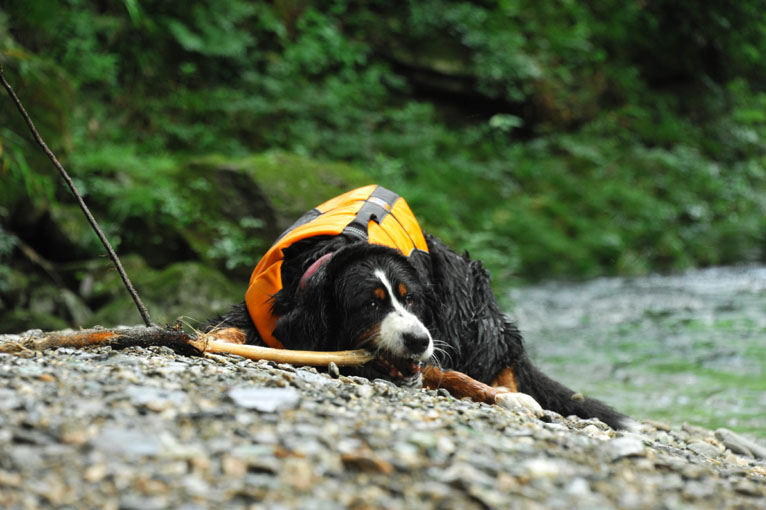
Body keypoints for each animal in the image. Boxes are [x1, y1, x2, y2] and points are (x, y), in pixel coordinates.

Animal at [206, 185, 632, 428]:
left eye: (409, 297)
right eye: (370, 304)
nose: (417, 341)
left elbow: (453, 373)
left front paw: (505, 398)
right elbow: (228, 328)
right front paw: (209, 341)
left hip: (473, 310)